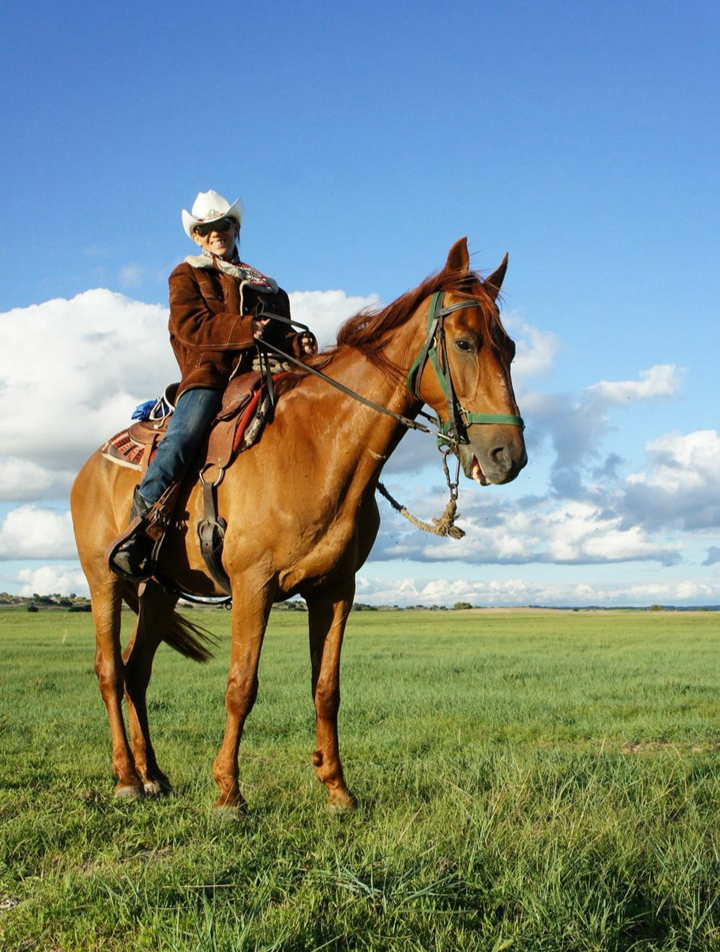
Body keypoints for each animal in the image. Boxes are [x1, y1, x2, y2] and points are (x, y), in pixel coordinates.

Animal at [70, 240, 524, 812]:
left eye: (510, 348)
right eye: (464, 342)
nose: (509, 456)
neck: (319, 444)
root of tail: (89, 468)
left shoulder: (334, 589)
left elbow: (326, 689)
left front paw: (337, 789)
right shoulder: (253, 585)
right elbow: (241, 686)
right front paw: (229, 794)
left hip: (160, 590)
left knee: (137, 672)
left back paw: (154, 775)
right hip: (105, 579)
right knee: (109, 670)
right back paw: (127, 777)